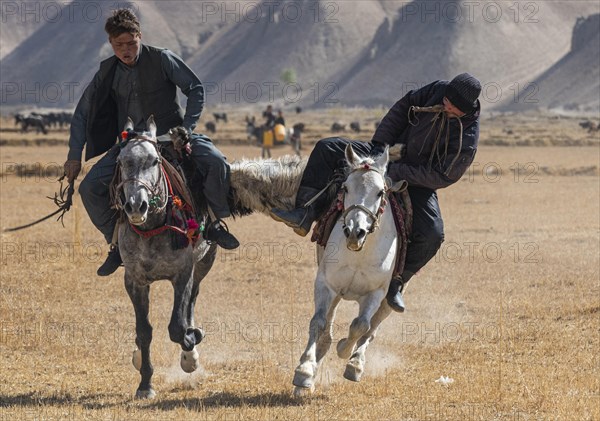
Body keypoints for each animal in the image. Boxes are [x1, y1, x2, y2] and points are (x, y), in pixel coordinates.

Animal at [290, 144, 408, 394]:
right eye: (345, 187)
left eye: (380, 192)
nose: (355, 231)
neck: (359, 253)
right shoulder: (326, 284)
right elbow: (318, 322)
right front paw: (304, 372)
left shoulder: (376, 293)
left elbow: (360, 326)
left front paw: (345, 351)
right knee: (327, 329)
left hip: (388, 301)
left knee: (371, 330)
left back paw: (356, 364)